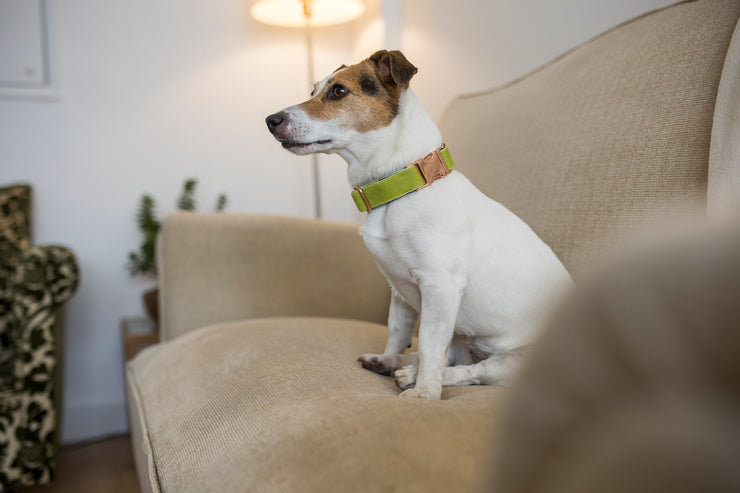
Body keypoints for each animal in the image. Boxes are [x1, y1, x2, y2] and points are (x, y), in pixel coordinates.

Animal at [266, 49, 572, 400]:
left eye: (338, 91)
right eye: (313, 90)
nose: (270, 120)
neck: (402, 186)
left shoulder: (440, 287)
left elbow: (428, 343)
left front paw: (425, 392)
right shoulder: (399, 291)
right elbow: (399, 333)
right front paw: (392, 356)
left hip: (515, 360)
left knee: (471, 371)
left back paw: (413, 377)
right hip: (461, 337)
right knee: (452, 357)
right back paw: (390, 362)